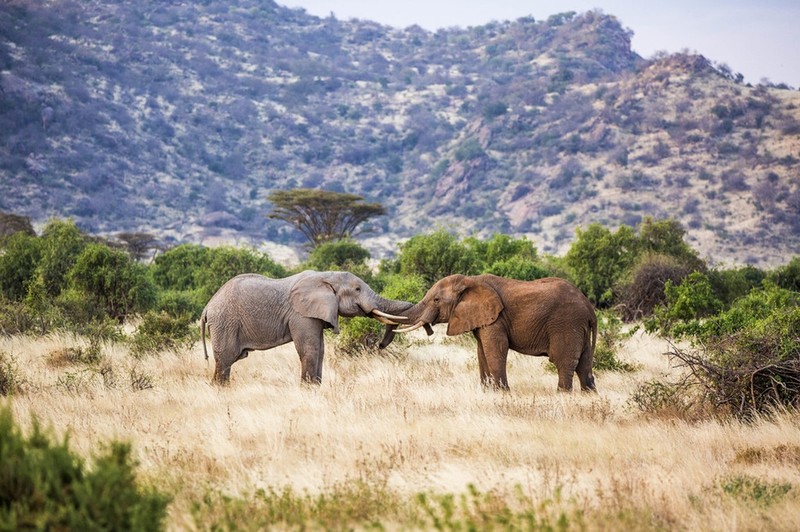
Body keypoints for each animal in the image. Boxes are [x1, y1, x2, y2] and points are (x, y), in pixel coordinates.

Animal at [200, 272, 412, 384]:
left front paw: (315, 388)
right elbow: (310, 349)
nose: (380, 345)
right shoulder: (301, 315)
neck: (326, 276)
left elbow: (321, 350)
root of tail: (207, 307)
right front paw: (308, 389)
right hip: (224, 322)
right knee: (226, 358)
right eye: (358, 289)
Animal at [384, 274, 596, 390]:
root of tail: (589, 308)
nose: (380, 344)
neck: (470, 280)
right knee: (584, 366)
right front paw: (488, 392)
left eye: (436, 300)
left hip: (567, 323)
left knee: (563, 362)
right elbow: (481, 352)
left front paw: (503, 394)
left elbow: (496, 349)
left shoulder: (496, 319)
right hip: (579, 328)